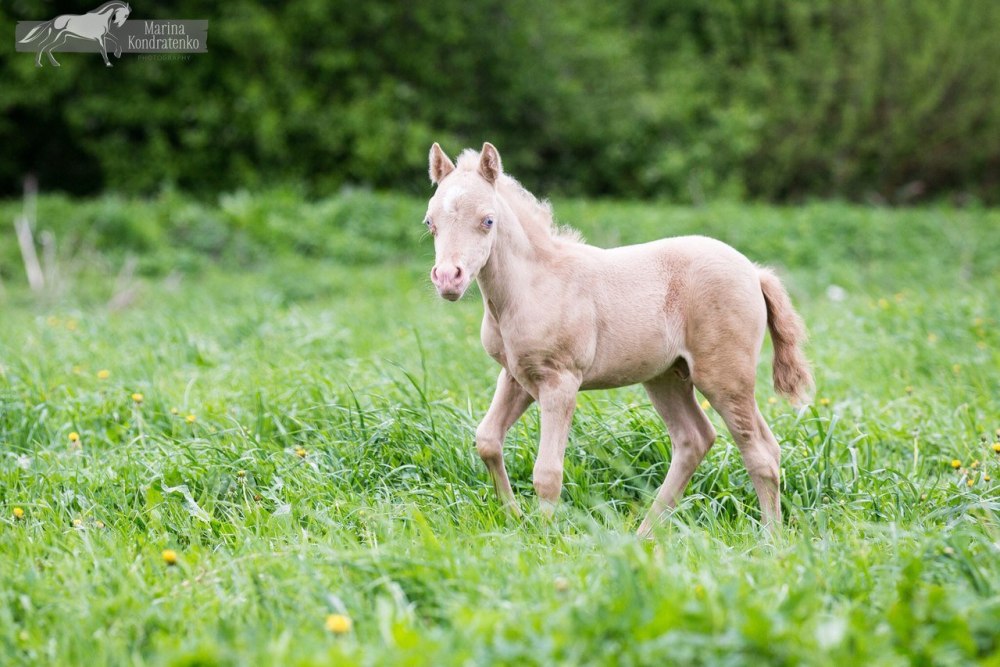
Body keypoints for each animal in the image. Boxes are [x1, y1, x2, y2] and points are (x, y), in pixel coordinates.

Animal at [424, 142, 812, 536]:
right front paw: (514, 517)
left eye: (488, 220)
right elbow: (487, 440)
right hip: (667, 377)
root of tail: (755, 272)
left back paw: (771, 540)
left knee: (761, 452)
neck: (531, 285)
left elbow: (547, 472)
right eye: (430, 223)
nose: (449, 278)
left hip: (724, 377)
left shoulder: (560, 381)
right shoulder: (517, 376)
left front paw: (545, 537)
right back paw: (643, 536)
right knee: (695, 439)